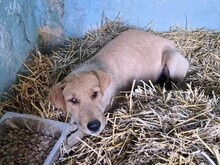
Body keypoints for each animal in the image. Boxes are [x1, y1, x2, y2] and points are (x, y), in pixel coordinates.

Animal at [48, 29, 189, 146]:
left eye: (95, 94)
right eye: (72, 100)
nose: (94, 126)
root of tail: (168, 40)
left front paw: (73, 138)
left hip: (171, 60)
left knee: (177, 80)